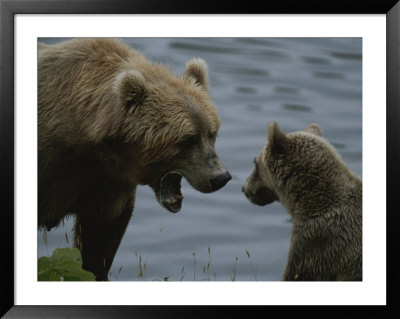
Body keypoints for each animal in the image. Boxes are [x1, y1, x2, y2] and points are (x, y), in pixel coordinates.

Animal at [38, 38, 231, 282]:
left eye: (212, 133)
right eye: (188, 140)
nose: (220, 177)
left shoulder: (107, 185)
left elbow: (99, 241)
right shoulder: (54, 164)